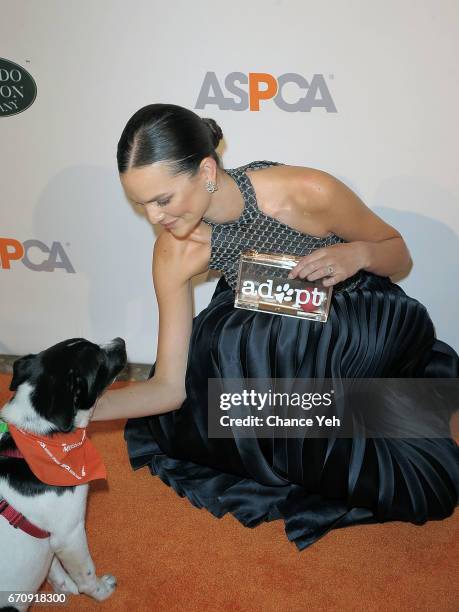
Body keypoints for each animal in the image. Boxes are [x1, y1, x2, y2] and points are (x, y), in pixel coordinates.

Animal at [0, 338, 127, 608]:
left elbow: (53, 568)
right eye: (99, 359)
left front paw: (63, 587)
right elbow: (86, 575)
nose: (120, 341)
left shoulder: (49, 541)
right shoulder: (70, 534)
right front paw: (101, 591)